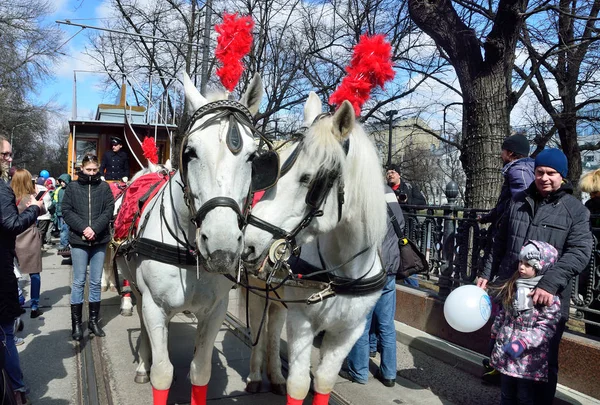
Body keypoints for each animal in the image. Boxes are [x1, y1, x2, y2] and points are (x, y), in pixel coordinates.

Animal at [116, 72, 276, 404]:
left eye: (252, 158)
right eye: (189, 152)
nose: (221, 248)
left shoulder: (215, 311)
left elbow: (200, 371)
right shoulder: (154, 304)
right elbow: (162, 374)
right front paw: (150, 365)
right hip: (137, 289)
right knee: (142, 321)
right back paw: (143, 362)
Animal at [241, 93, 386, 404]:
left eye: (308, 179)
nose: (248, 243)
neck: (340, 273)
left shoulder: (349, 332)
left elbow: (323, 382)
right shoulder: (302, 321)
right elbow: (299, 385)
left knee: (273, 326)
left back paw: (275, 375)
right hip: (256, 292)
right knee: (258, 325)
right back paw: (256, 376)